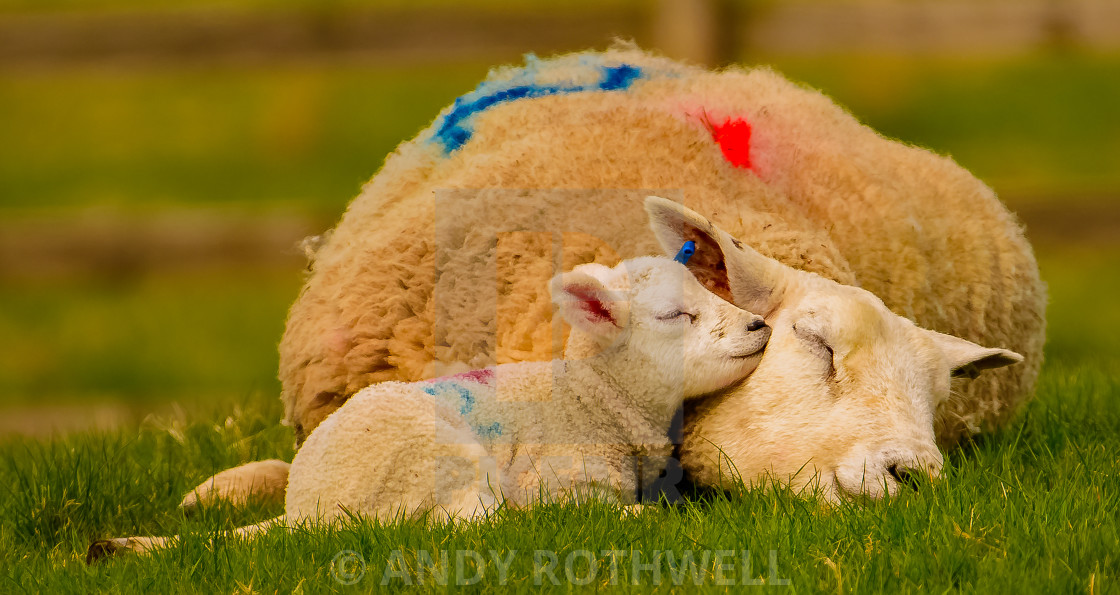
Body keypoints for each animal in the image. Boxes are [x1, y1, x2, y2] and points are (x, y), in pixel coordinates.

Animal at [87, 255, 770, 558]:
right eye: (676, 316)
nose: (759, 325)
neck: (592, 401)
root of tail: (308, 511)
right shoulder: (562, 476)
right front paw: (641, 516)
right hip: (435, 461)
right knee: (465, 525)